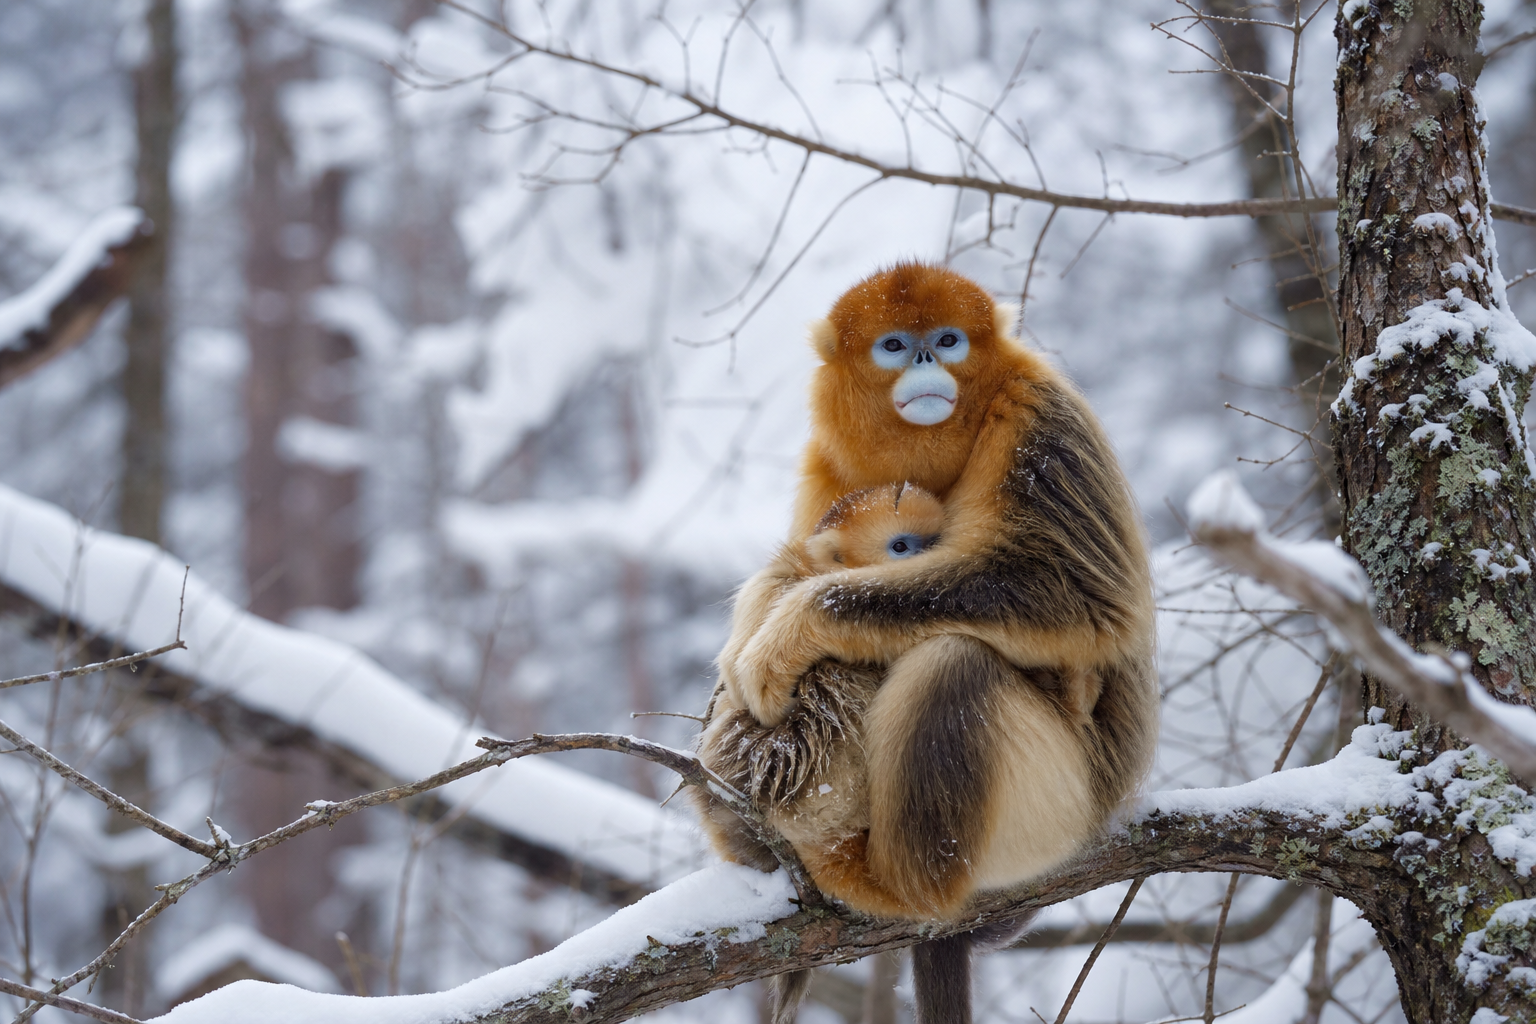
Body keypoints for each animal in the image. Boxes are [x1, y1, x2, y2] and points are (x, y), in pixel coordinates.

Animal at [695, 262, 1158, 1024]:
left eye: (947, 339)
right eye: (892, 345)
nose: (922, 360)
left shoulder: (1040, 414)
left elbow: (1076, 594)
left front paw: (787, 631)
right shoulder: (823, 466)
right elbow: (791, 564)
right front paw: (759, 625)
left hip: (1060, 818)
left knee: (953, 663)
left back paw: (907, 893)